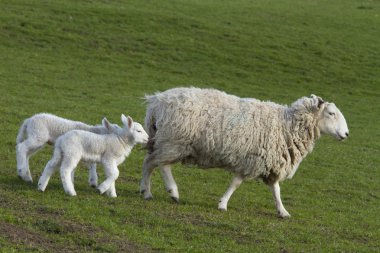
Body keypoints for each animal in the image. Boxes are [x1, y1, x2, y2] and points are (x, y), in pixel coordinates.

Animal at [138, 87, 348, 217]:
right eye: (331, 113)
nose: (346, 134)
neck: (286, 125)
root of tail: (156, 101)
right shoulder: (252, 160)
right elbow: (236, 183)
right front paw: (223, 204)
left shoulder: (269, 163)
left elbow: (276, 190)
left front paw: (283, 211)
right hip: (174, 141)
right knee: (158, 164)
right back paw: (168, 191)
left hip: (165, 140)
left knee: (151, 162)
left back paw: (148, 191)